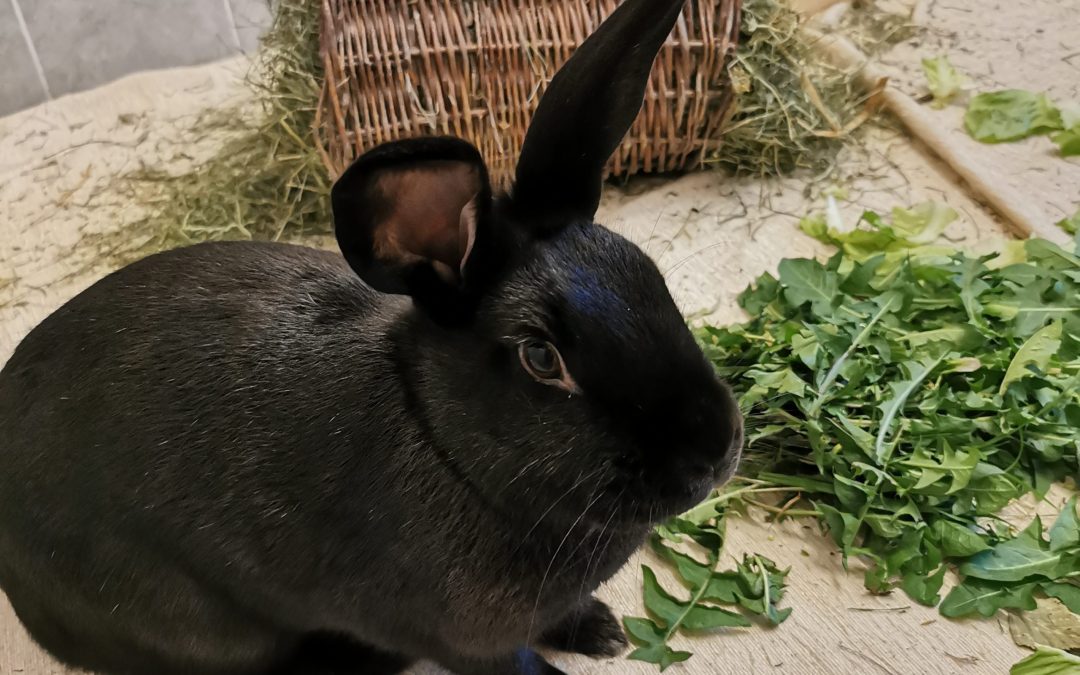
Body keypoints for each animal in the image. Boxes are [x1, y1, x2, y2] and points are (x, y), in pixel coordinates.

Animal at [0, 0, 743, 673]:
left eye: (651, 277)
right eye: (541, 357)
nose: (714, 455)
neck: (446, 444)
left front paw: (600, 630)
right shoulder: (466, 641)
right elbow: (518, 664)